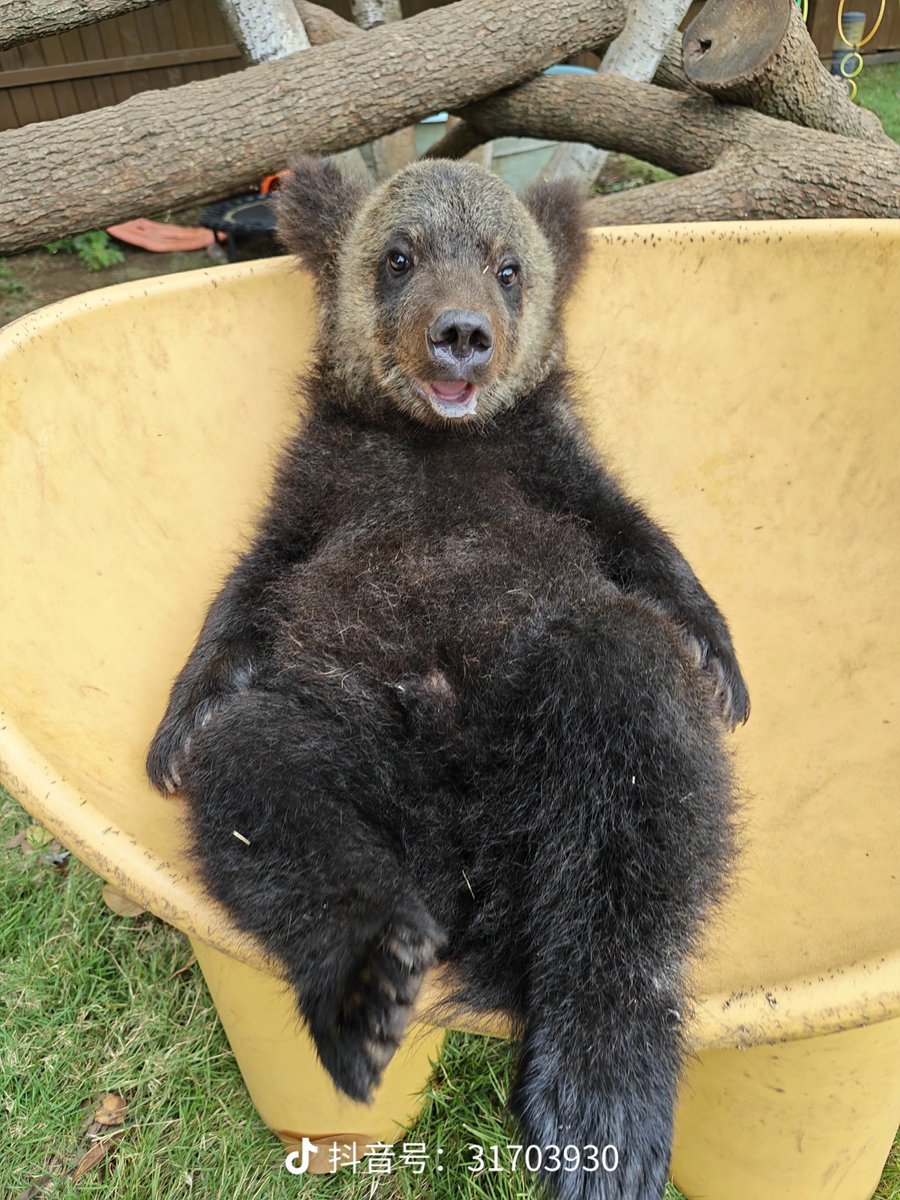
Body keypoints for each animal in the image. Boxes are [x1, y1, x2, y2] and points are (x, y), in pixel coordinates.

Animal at [147, 155, 748, 1200]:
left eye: (508, 266)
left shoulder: (555, 470)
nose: (461, 333)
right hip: (349, 724)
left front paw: (719, 657)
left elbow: (640, 545)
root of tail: (465, 877)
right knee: (268, 774)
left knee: (635, 764)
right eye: (399, 256)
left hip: (556, 734)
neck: (436, 442)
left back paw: (601, 1101)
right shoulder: (320, 492)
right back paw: (372, 983)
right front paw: (180, 721)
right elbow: (254, 592)